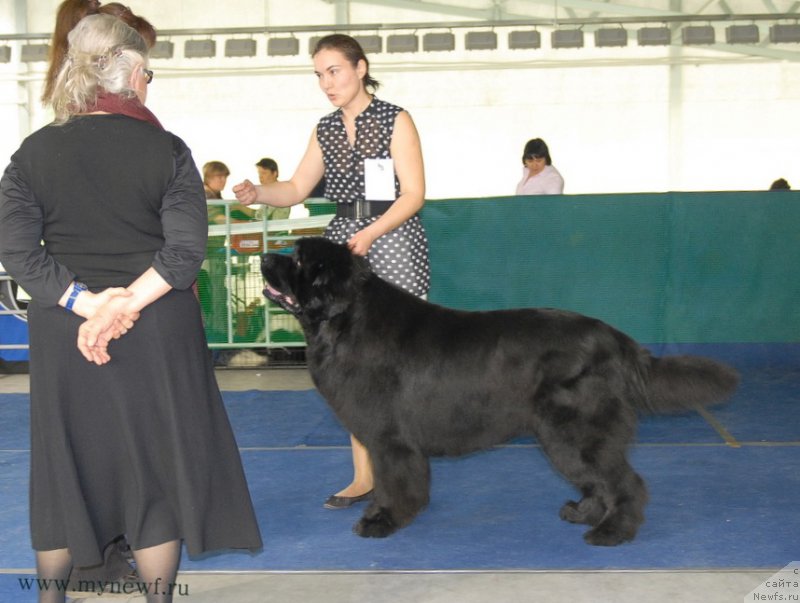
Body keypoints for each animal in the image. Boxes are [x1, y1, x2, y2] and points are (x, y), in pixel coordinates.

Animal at [260, 237, 736, 548]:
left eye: (299, 259)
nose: (264, 255)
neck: (345, 322)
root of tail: (616, 338)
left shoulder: (389, 438)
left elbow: (393, 484)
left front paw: (383, 521)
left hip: (575, 430)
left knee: (625, 482)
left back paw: (611, 532)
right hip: (562, 435)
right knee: (597, 481)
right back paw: (581, 513)